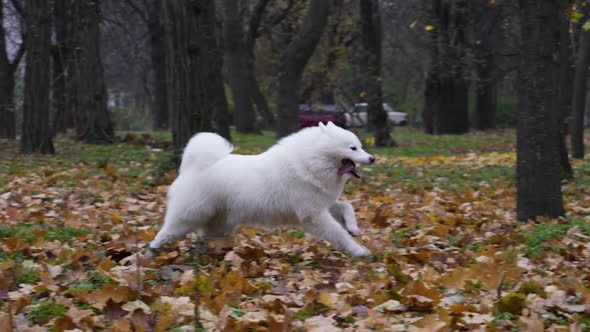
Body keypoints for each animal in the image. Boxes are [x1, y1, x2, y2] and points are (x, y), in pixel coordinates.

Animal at [150, 121, 376, 256]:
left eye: (361, 146)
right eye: (353, 148)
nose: (372, 158)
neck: (311, 161)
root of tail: (195, 166)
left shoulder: (323, 204)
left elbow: (347, 206)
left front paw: (353, 228)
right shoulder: (313, 215)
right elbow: (338, 233)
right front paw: (358, 250)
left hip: (219, 222)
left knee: (204, 236)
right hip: (190, 215)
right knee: (167, 231)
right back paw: (152, 250)